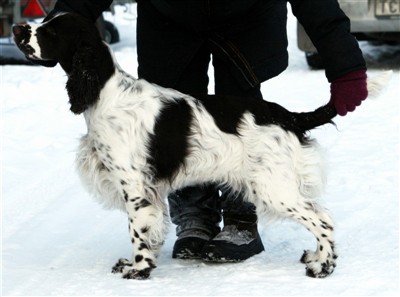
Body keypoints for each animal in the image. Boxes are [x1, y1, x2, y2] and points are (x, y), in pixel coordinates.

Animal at [14, 12, 390, 278]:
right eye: (44, 21)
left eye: (51, 31)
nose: (18, 28)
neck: (104, 91)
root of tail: (288, 117)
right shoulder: (148, 189)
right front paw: (139, 263)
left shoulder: (134, 185)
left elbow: (137, 230)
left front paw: (138, 269)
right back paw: (316, 257)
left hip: (274, 187)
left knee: (322, 219)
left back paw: (322, 265)